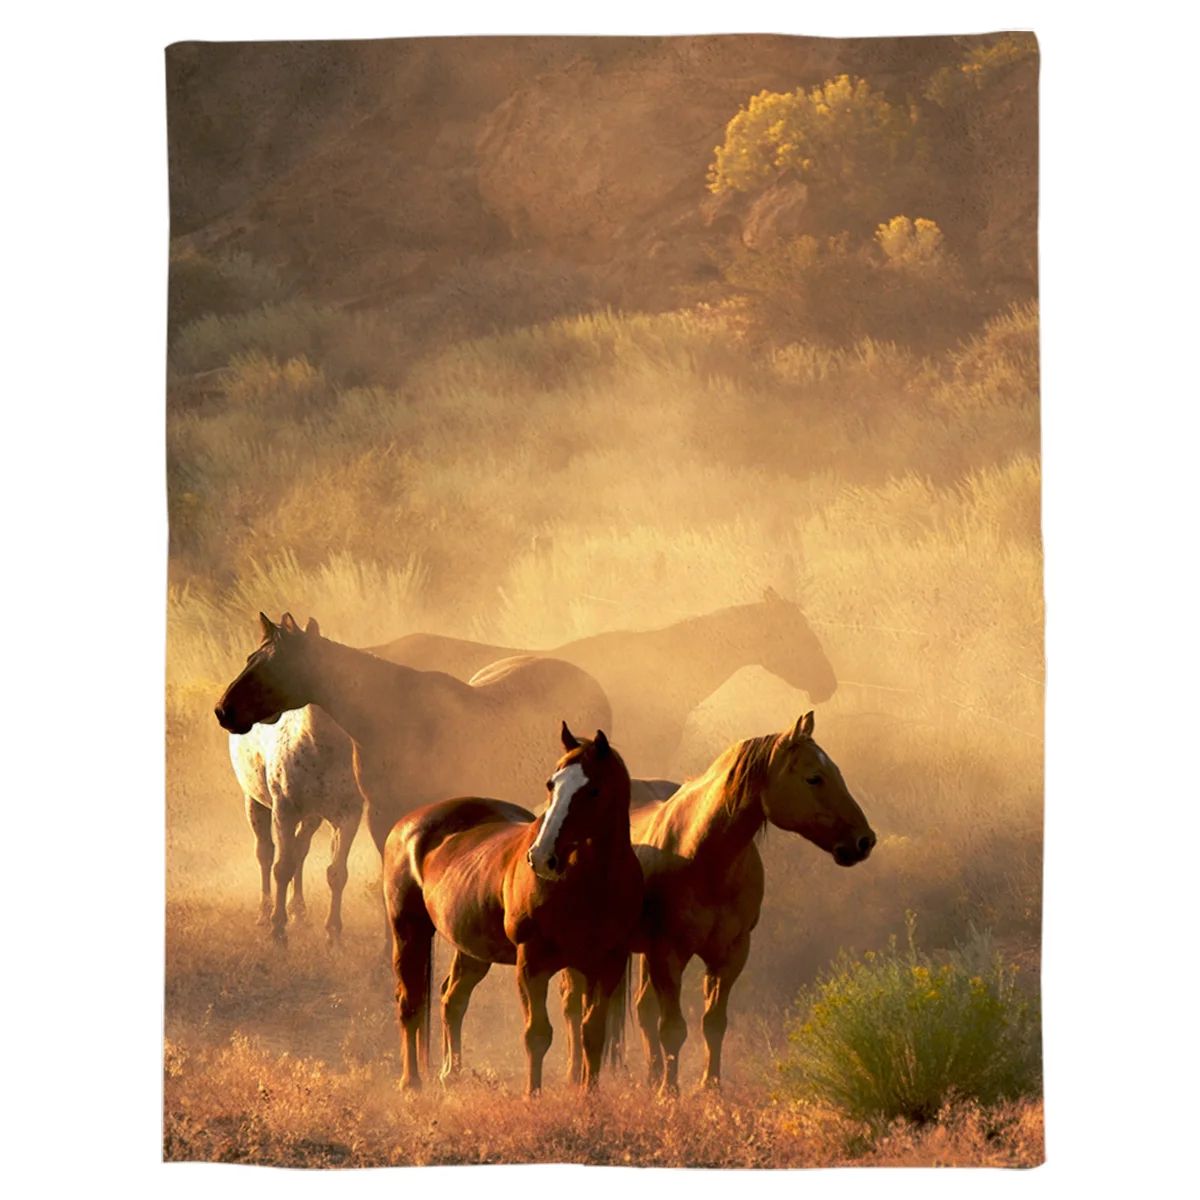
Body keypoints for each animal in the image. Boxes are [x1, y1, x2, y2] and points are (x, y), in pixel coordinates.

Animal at [228, 705, 362, 943]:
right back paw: (265, 913)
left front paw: (333, 932)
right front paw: (278, 929)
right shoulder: (284, 812)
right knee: (265, 853)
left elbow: (337, 873)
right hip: (254, 802)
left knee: (299, 851)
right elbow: (282, 868)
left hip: (311, 818)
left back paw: (298, 911)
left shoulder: (348, 816)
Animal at [382, 723, 642, 1095]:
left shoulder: (607, 964)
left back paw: (451, 1073)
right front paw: (532, 1097)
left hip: (472, 951)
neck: (591, 883)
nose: (542, 857)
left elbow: (592, 1032)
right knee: (410, 1003)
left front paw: (588, 1097)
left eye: (594, 790)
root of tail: (408, 825)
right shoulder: (531, 963)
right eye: (551, 785)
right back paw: (411, 1083)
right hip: (408, 931)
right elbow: (537, 1034)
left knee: (452, 999)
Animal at [560, 710, 875, 1093]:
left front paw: (710, 1088)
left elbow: (713, 1023)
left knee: (641, 1008)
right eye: (814, 777)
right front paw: (670, 1093)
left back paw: (650, 1077)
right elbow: (673, 1028)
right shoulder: (669, 953)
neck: (701, 854)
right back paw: (576, 1076)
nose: (864, 840)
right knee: (574, 1009)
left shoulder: (730, 953)